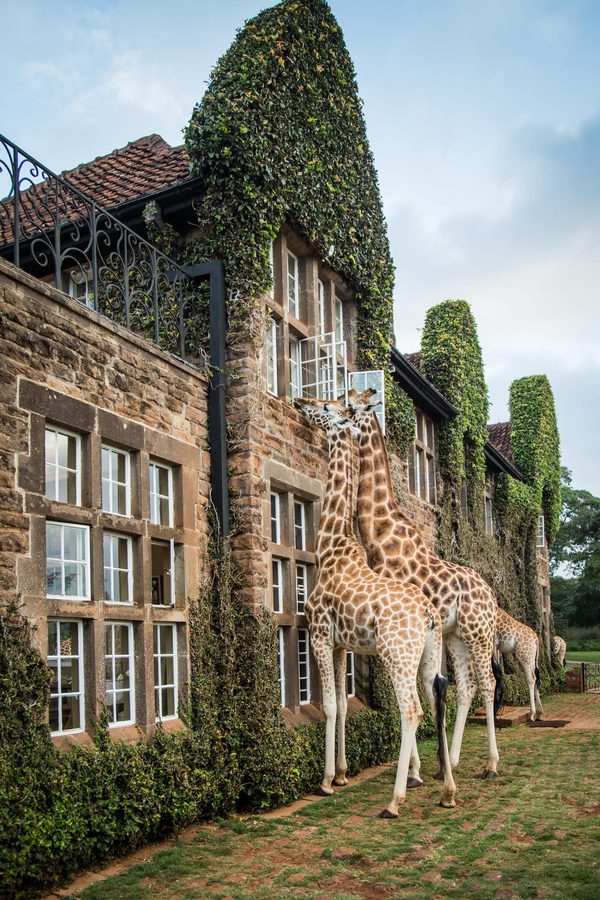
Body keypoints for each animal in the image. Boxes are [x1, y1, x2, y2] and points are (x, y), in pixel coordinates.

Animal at [294, 396, 456, 817]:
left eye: (326, 407)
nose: (300, 400)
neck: (331, 546)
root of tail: (429, 615)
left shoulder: (319, 634)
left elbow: (330, 705)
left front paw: (325, 782)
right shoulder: (341, 644)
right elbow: (343, 705)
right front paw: (342, 774)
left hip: (395, 653)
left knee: (412, 710)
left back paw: (395, 801)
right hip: (427, 654)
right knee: (435, 700)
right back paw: (447, 790)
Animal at [348, 388, 501, 778]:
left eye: (348, 404)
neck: (380, 534)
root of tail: (492, 596)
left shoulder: (399, 628)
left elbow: (409, 695)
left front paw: (412, 771)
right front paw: (421, 767)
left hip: (478, 634)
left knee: (488, 683)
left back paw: (491, 764)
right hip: (456, 635)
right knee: (468, 686)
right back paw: (454, 761)